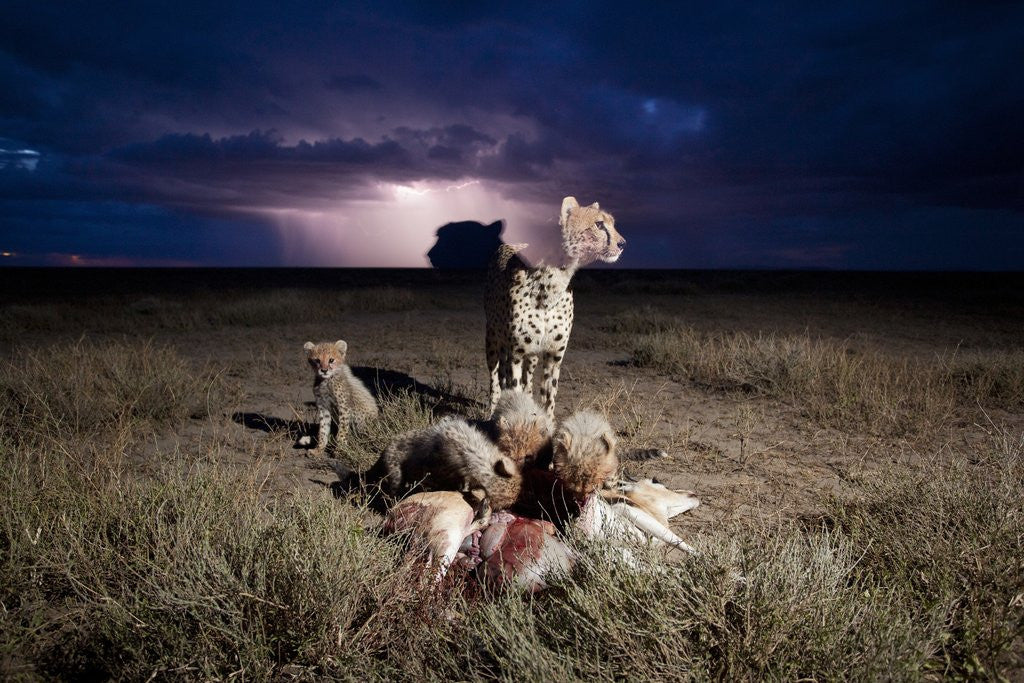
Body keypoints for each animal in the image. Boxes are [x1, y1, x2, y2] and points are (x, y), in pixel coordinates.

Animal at [484, 196, 625, 421]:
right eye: (599, 224)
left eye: (612, 223)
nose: (622, 244)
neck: (551, 285)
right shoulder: (516, 354)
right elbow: (513, 390)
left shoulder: (553, 355)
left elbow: (548, 396)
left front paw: (548, 422)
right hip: (493, 339)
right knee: (495, 377)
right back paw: (492, 411)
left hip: (531, 354)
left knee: (528, 379)